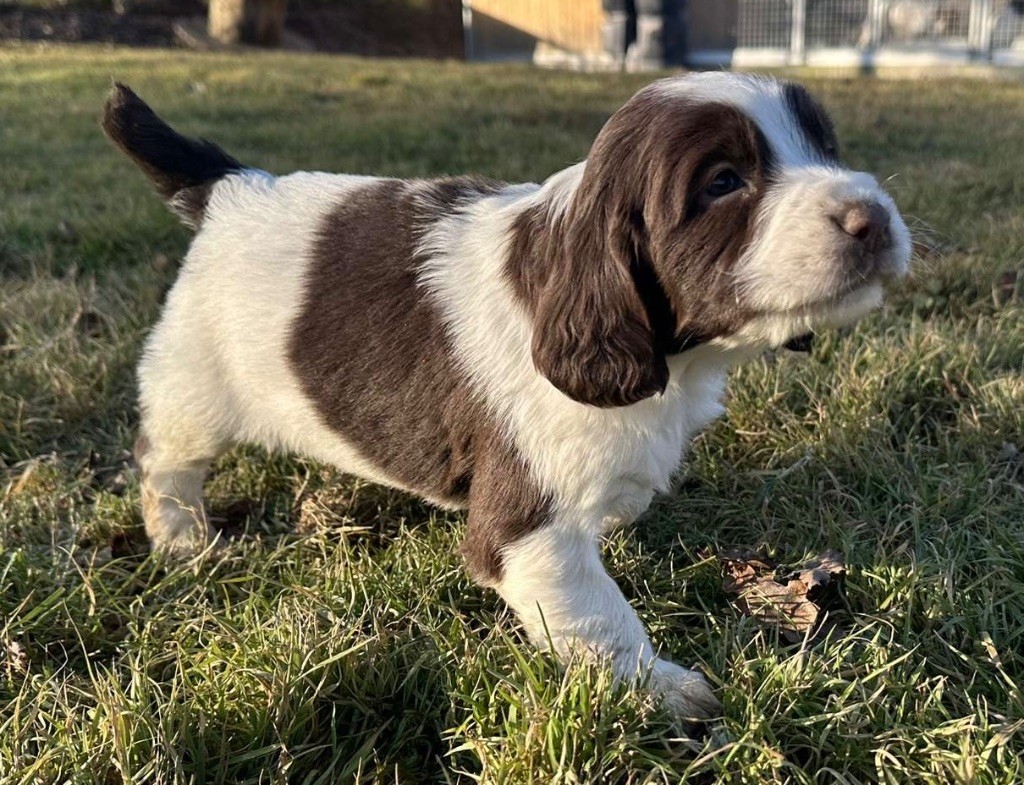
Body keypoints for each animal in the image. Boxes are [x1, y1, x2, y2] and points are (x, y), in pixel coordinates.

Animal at [103, 73, 913, 724]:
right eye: (722, 183)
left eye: (824, 146)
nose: (873, 216)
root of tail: (229, 185)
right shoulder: (530, 526)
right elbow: (598, 614)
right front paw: (661, 688)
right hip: (195, 382)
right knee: (164, 459)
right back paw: (183, 540)